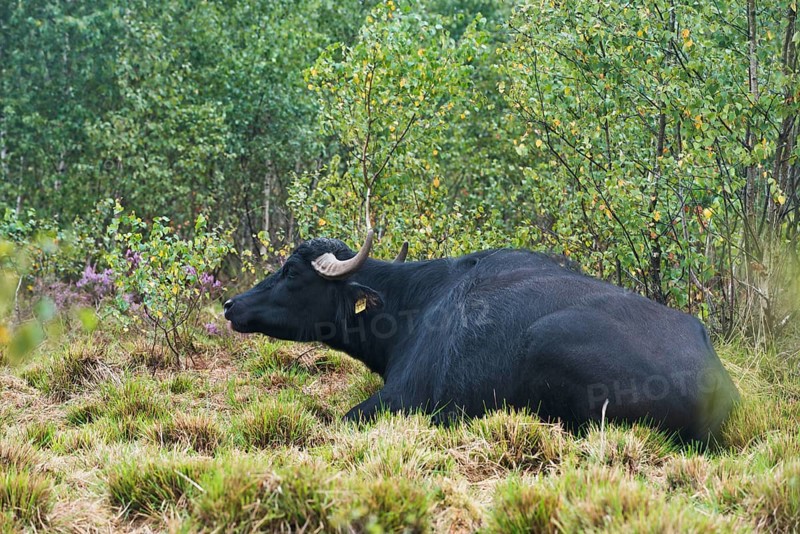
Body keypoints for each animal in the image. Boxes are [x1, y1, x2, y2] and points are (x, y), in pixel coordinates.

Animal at [224, 231, 739, 443]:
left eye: (291, 272)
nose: (231, 305)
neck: (413, 304)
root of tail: (716, 385)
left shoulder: (400, 399)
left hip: (549, 342)